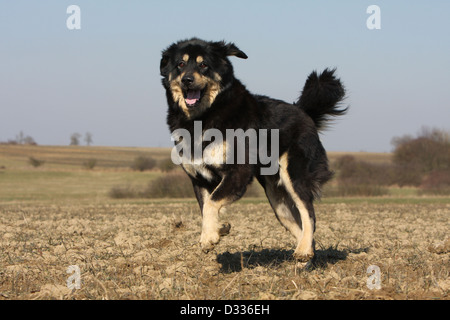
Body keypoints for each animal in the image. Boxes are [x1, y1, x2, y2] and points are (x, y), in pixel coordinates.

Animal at [160, 38, 346, 262]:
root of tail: (304, 112)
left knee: (309, 215)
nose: (187, 79)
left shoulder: (238, 171)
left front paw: (208, 237)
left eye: (203, 64)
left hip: (295, 177)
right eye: (180, 64)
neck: (203, 116)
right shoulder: (199, 178)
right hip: (276, 197)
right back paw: (305, 254)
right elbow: (205, 207)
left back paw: (302, 252)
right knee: (298, 225)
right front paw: (217, 229)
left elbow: (212, 202)